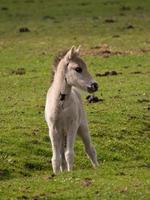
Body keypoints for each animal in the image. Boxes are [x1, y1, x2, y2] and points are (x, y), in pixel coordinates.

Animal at [44, 46, 98, 174]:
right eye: (78, 69)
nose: (95, 85)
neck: (61, 103)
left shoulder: (72, 127)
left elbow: (69, 154)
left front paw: (70, 172)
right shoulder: (53, 129)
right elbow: (56, 157)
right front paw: (57, 174)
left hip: (82, 127)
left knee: (90, 149)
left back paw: (97, 167)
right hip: (61, 133)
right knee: (62, 154)